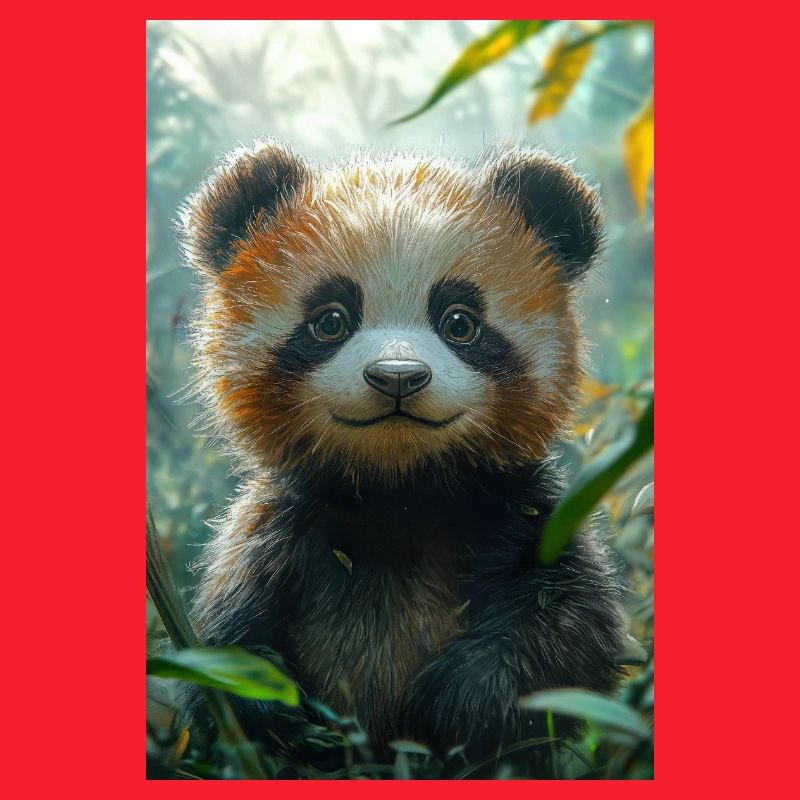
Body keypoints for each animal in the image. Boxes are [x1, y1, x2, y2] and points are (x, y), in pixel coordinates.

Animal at [178, 139, 626, 761]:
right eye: (330, 321)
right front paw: (277, 708)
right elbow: (226, 643)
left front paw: (461, 700)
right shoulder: (280, 528)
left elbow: (576, 632)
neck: (400, 486)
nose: (397, 376)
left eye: (460, 322)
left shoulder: (520, 510)